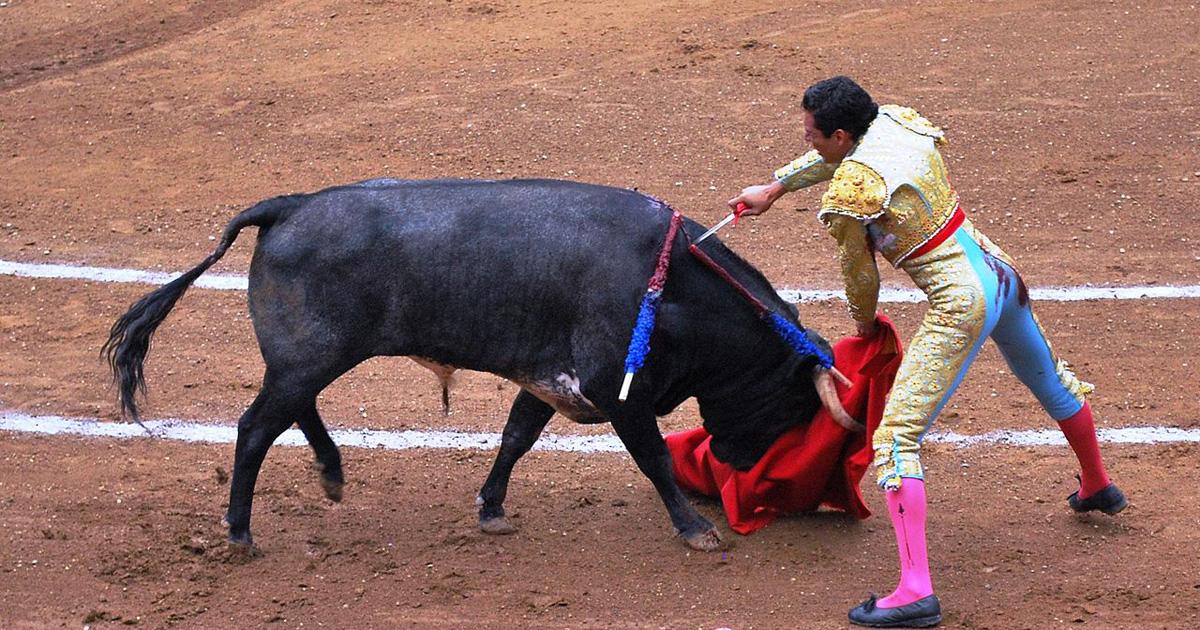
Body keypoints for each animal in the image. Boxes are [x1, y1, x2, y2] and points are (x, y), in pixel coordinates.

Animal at [108, 177, 849, 549]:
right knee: (256, 427)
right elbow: (656, 459)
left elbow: (515, 438)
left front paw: (492, 510)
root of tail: (288, 205)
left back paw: (333, 476)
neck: (672, 289)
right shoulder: (620, 394)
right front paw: (697, 530)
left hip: (305, 358)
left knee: (293, 412)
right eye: (793, 402)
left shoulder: (549, 381)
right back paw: (240, 531)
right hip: (307, 357)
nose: (737, 462)